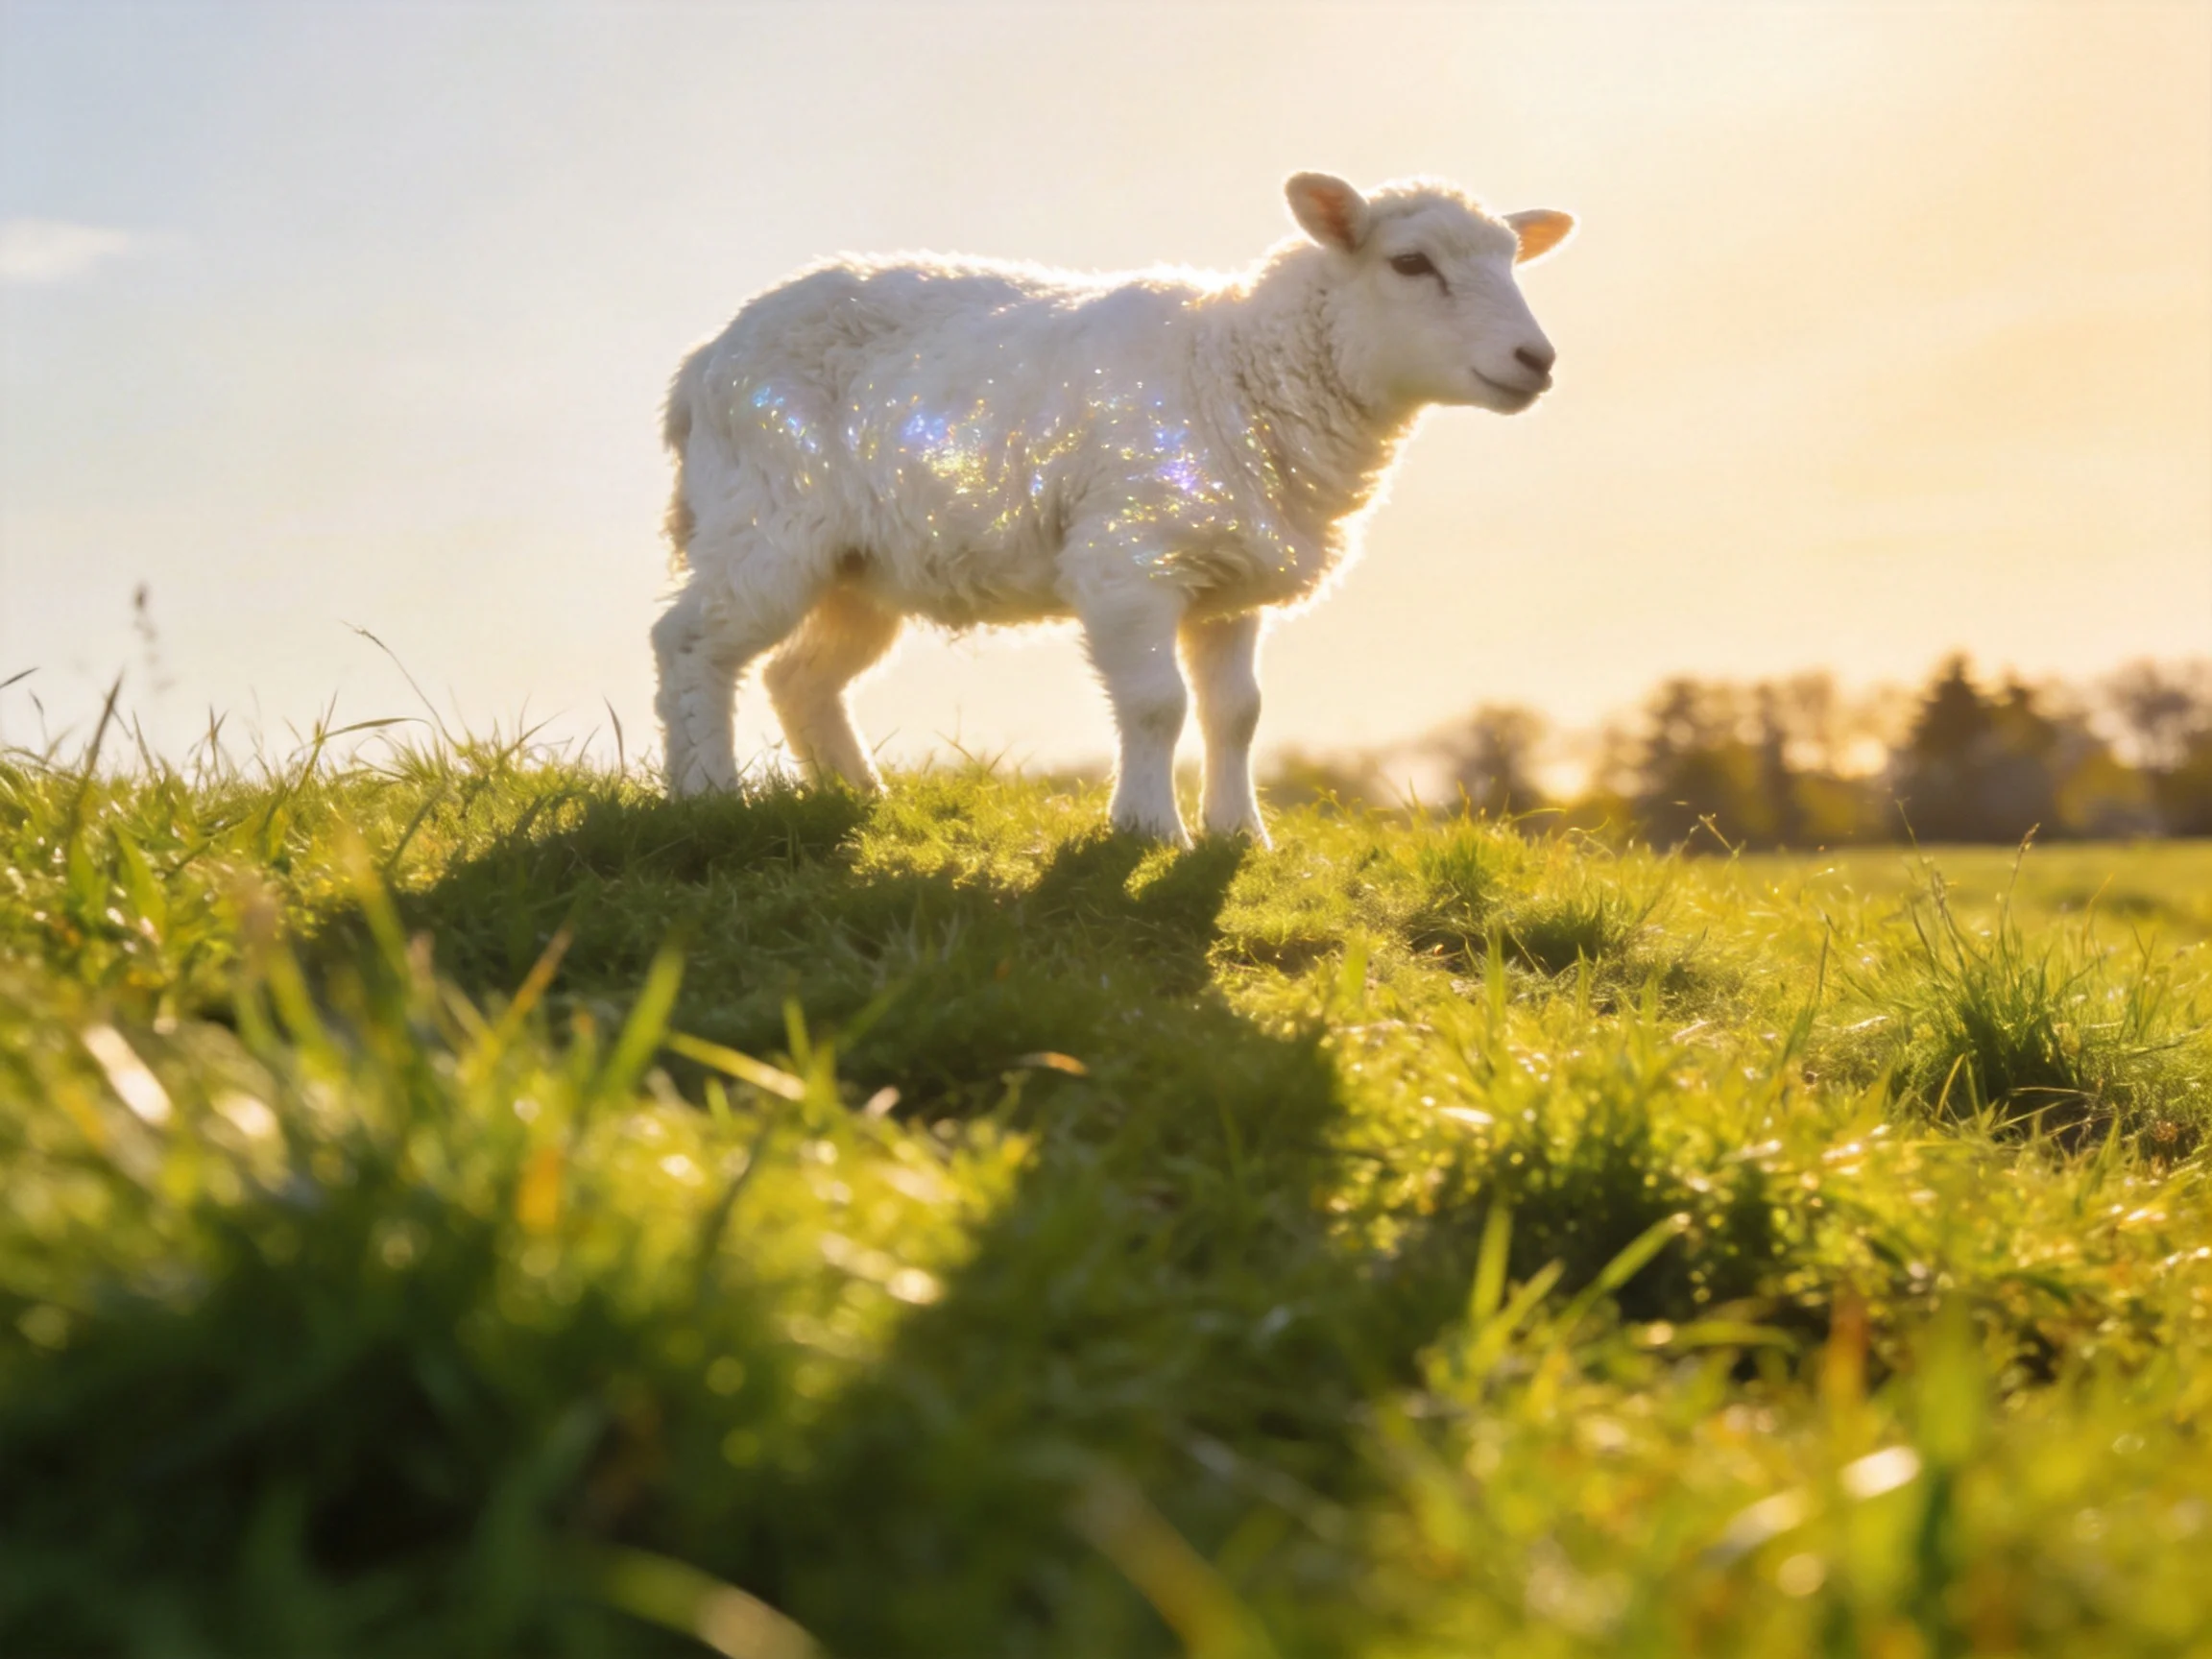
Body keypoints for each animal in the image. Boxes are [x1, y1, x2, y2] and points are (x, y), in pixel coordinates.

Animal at [653, 171, 1575, 846]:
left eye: (1513, 264)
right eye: (1411, 263)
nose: (1537, 360)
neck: (1241, 365)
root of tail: (704, 361)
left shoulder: (1229, 582)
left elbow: (1238, 713)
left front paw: (1239, 836)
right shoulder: (1127, 562)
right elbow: (1157, 703)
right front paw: (1147, 829)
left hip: (858, 566)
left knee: (798, 676)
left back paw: (859, 797)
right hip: (767, 521)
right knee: (691, 645)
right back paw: (706, 796)